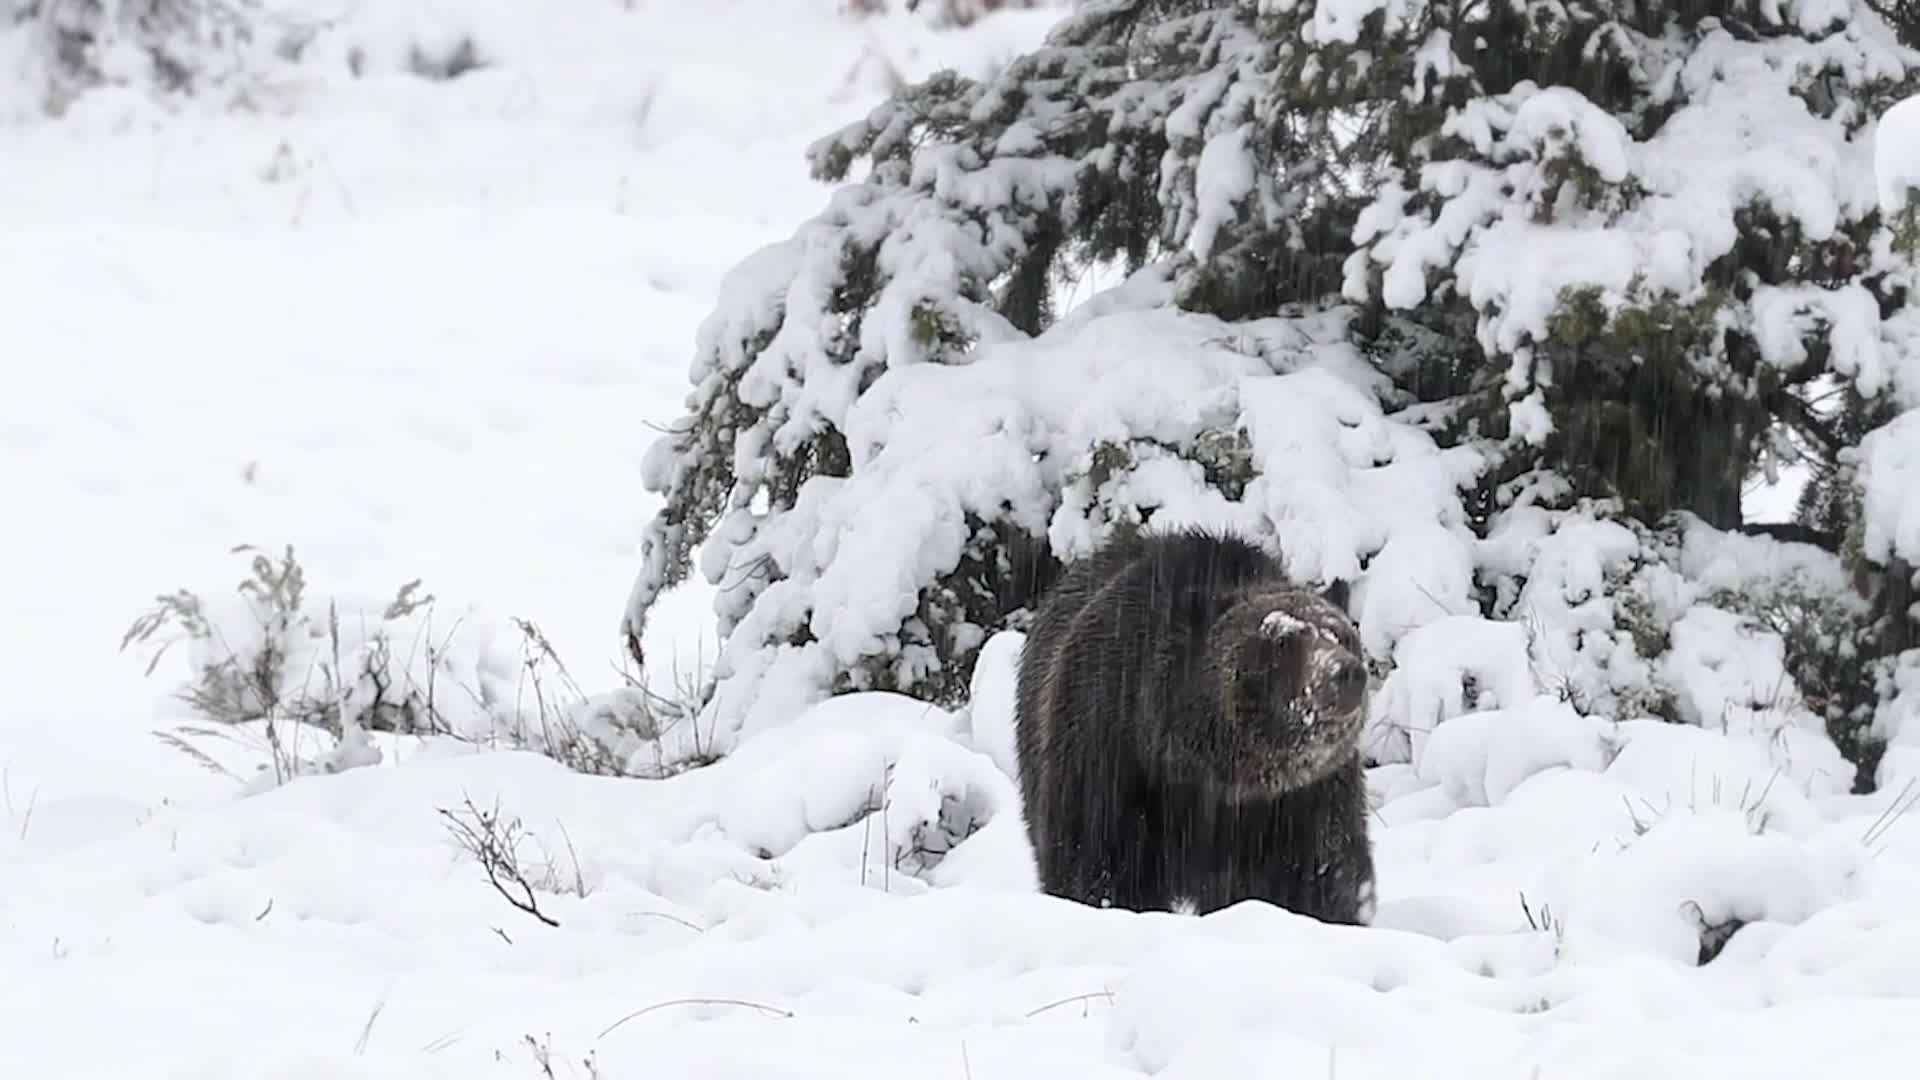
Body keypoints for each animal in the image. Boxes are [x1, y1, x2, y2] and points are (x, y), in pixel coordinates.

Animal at [1012, 525, 1375, 924]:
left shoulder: (1303, 799)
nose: (1345, 673)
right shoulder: (1108, 749)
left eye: (1343, 635)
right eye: (1282, 638)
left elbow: (1318, 874)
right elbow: (1098, 861)